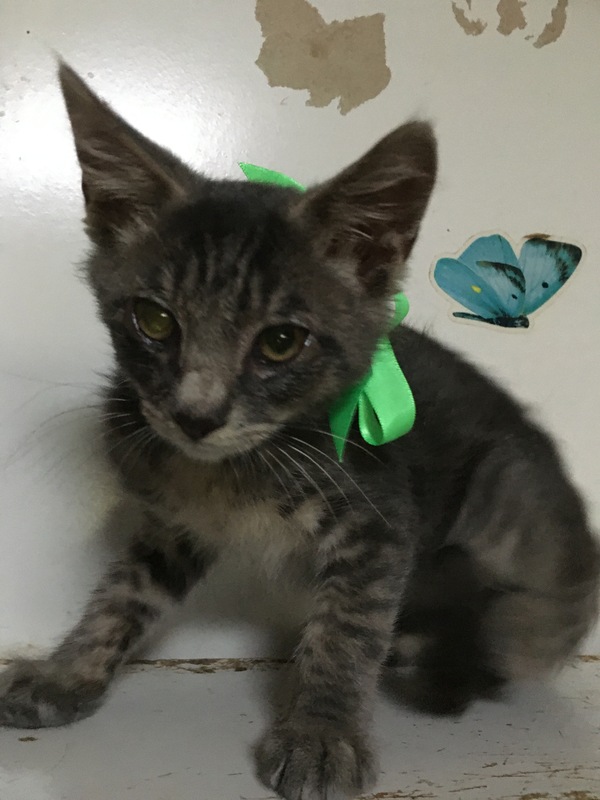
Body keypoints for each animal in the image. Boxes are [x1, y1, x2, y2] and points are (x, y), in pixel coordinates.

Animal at [0, 63, 597, 800]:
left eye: (281, 343)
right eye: (155, 321)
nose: (196, 417)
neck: (233, 469)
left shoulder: (379, 518)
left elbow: (346, 628)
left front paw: (322, 734)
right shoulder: (177, 523)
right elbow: (123, 593)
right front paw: (65, 674)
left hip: (508, 496)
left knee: (533, 622)